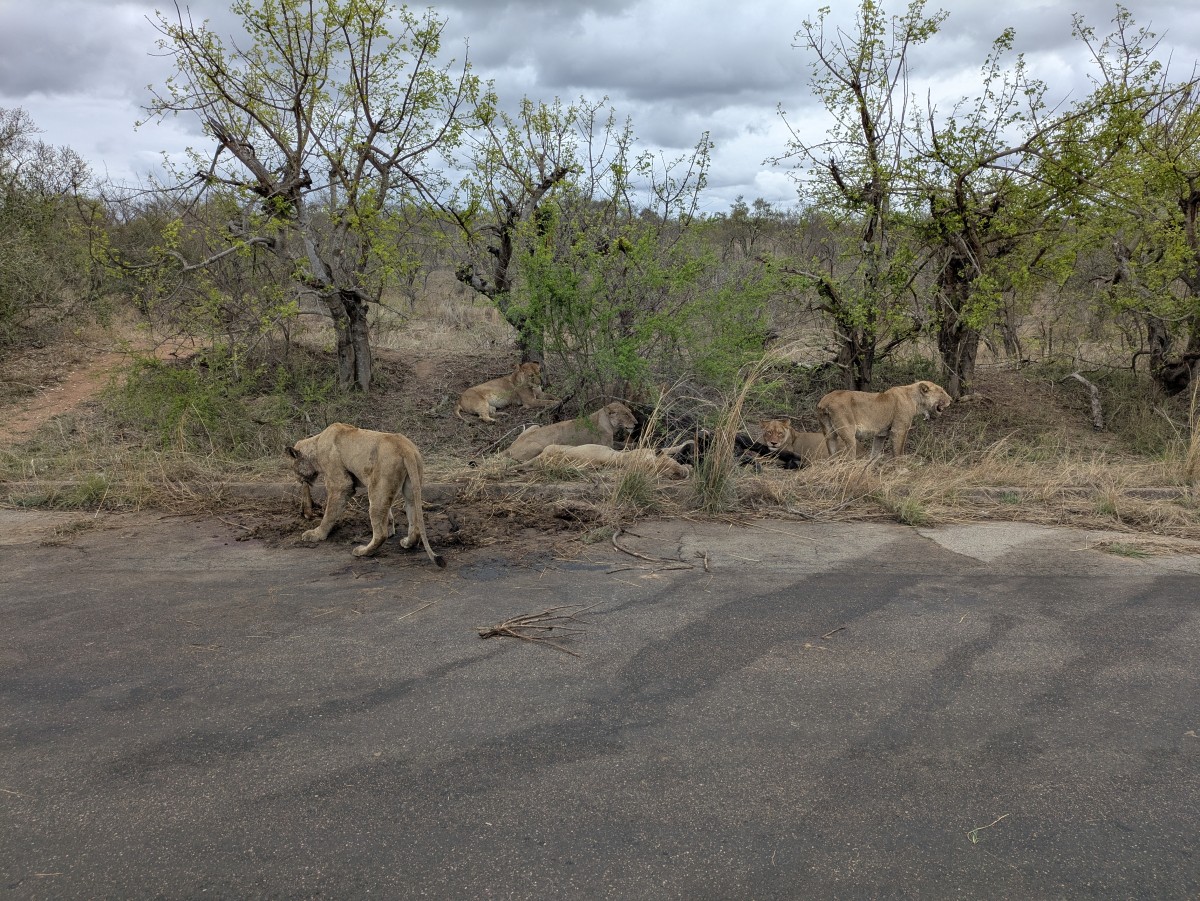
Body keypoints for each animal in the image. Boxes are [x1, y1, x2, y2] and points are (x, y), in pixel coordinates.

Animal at [286, 423, 446, 567]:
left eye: (293, 467)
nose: (298, 480)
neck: (316, 444)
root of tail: (405, 448)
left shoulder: (340, 484)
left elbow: (329, 513)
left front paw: (317, 534)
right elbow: (388, 513)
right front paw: (391, 528)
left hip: (376, 487)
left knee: (380, 534)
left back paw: (363, 551)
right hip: (409, 488)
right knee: (415, 522)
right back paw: (407, 542)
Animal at [506, 402, 639, 463]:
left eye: (630, 411)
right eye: (625, 414)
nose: (636, 423)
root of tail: (509, 448)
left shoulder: (611, 441)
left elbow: (622, 443)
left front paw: (635, 444)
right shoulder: (605, 444)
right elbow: (621, 447)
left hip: (535, 425)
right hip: (538, 446)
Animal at [816, 380, 952, 459]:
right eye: (941, 391)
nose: (951, 399)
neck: (915, 400)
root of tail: (825, 401)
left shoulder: (880, 434)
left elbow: (874, 454)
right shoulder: (899, 430)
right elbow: (898, 451)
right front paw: (901, 471)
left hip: (829, 434)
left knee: (832, 455)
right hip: (848, 432)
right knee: (849, 456)